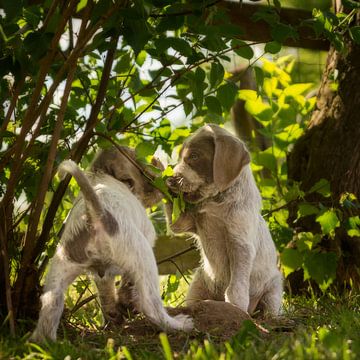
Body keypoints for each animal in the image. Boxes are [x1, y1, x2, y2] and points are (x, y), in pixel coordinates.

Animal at [30, 147, 194, 344]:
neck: (99, 172)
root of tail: (96, 215)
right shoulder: (146, 236)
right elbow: (127, 285)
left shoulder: (102, 274)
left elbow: (106, 292)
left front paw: (113, 316)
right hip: (143, 256)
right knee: (152, 307)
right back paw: (180, 325)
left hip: (61, 267)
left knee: (50, 305)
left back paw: (43, 342)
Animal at [166, 125, 282, 316]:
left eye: (194, 156)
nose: (171, 179)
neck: (216, 201)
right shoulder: (187, 222)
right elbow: (174, 221)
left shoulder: (240, 244)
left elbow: (236, 285)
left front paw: (235, 308)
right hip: (198, 283)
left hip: (273, 289)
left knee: (268, 310)